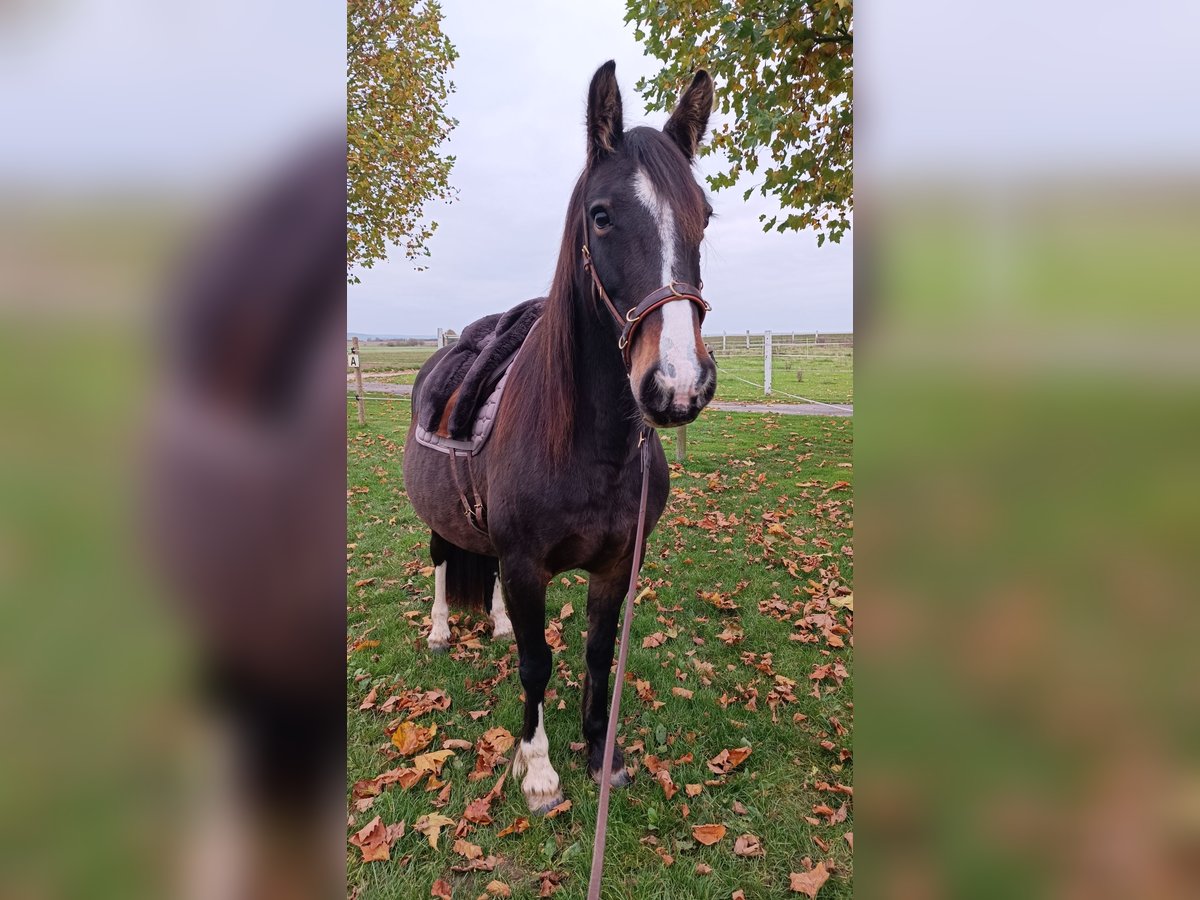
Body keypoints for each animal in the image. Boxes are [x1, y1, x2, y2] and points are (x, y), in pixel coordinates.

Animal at [408, 60, 715, 816]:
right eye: (601, 216)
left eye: (704, 215)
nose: (678, 384)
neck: (590, 449)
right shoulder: (526, 566)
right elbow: (537, 663)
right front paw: (539, 768)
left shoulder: (617, 563)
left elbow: (599, 652)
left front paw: (600, 750)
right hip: (440, 519)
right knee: (441, 559)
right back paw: (440, 629)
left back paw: (494, 621)